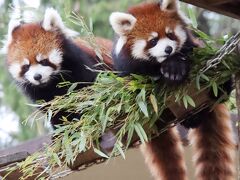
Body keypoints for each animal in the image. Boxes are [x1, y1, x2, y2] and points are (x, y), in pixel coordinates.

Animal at [109, 0, 235, 180]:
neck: (158, 64)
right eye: (153, 41)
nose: (168, 49)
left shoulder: (191, 47)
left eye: (170, 35)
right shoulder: (128, 73)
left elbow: (187, 56)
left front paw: (174, 68)